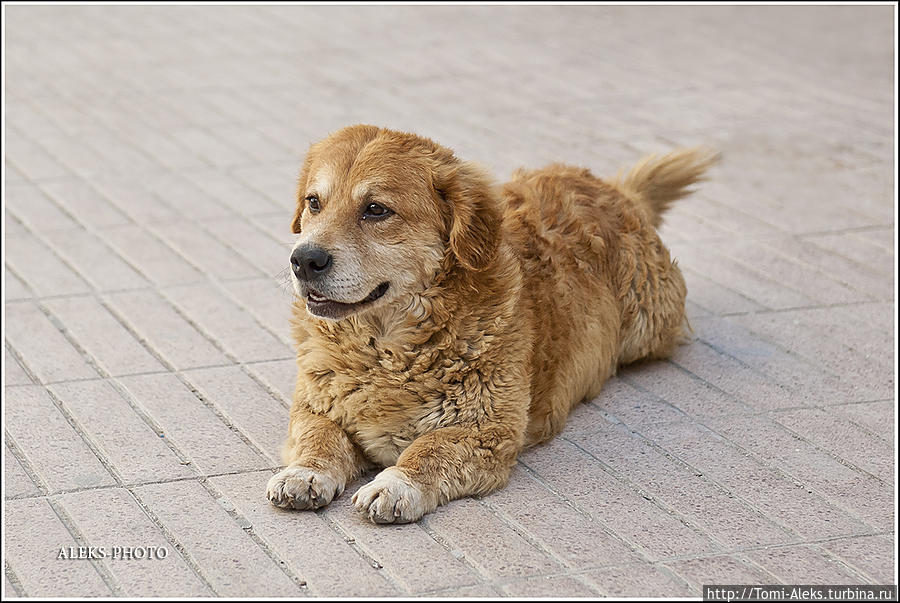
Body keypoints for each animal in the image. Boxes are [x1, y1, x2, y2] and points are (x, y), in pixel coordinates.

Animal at [266, 126, 716, 524]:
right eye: (314, 202)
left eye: (376, 209)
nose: (304, 260)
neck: (384, 348)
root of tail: (616, 190)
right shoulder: (313, 402)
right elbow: (318, 436)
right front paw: (305, 472)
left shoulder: (487, 429)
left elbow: (428, 449)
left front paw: (395, 483)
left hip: (648, 327)